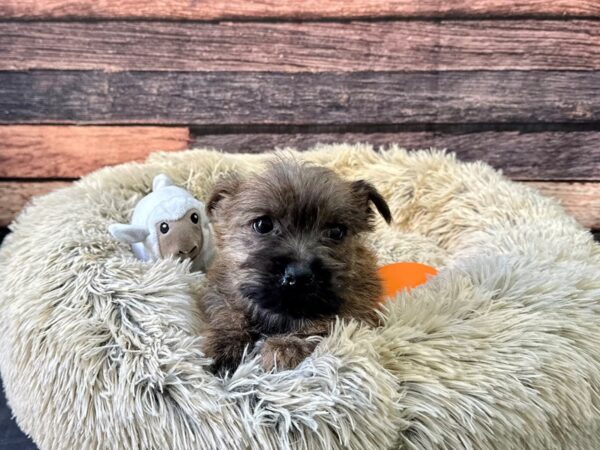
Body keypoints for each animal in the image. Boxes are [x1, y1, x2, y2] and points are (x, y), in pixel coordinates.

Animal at [199, 158, 392, 372]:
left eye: (336, 232)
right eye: (263, 225)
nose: (299, 275)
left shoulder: (356, 310)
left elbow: (323, 323)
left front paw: (286, 347)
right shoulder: (220, 289)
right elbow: (229, 313)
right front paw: (223, 345)